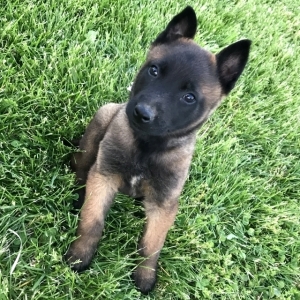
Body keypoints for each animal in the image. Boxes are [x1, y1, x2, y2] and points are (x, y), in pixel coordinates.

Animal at [65, 5, 251, 294]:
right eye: (154, 71)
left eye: (189, 98)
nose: (142, 113)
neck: (146, 146)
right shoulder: (104, 177)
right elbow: (92, 221)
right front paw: (80, 256)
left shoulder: (164, 204)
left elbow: (151, 245)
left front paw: (144, 277)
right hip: (102, 118)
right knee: (82, 167)